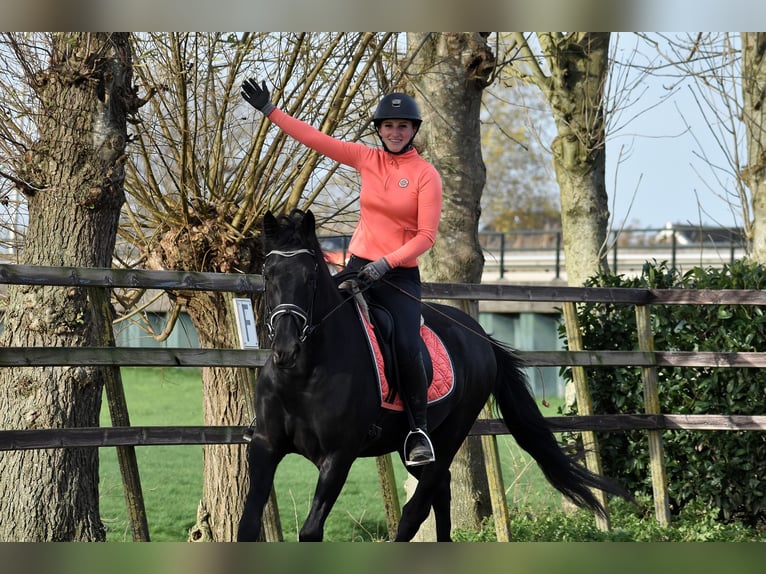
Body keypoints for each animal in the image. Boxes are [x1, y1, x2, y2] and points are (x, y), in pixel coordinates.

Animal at [238, 209, 632, 544]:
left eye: (309, 279)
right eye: (268, 275)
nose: (286, 348)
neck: (305, 374)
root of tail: (481, 337)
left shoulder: (338, 457)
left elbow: (310, 531)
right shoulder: (265, 447)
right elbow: (248, 524)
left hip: (448, 435)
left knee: (416, 509)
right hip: (409, 446)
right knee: (440, 489)